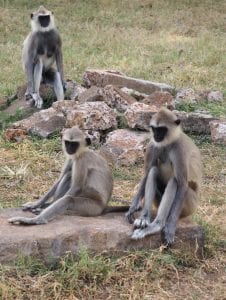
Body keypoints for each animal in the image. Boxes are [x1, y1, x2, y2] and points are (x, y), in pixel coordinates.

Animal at [126, 108, 202, 246]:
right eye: (154, 129)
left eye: (162, 129)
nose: (156, 135)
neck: (168, 143)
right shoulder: (152, 145)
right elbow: (147, 173)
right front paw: (134, 207)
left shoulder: (179, 149)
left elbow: (182, 184)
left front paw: (170, 228)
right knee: (153, 171)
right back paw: (144, 219)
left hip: (189, 204)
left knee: (174, 181)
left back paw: (157, 225)